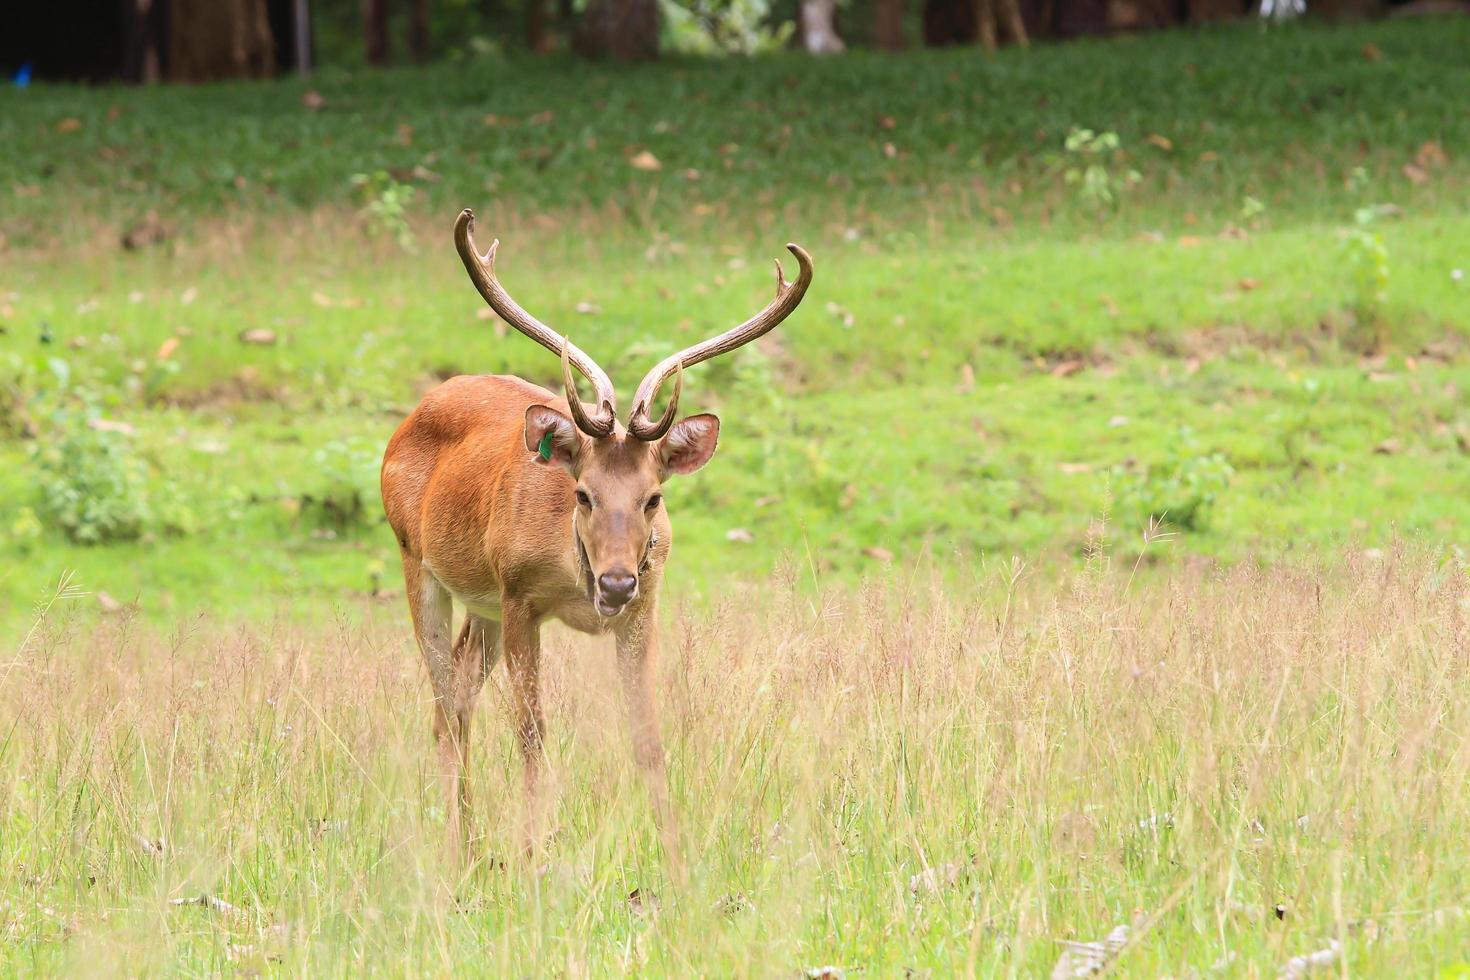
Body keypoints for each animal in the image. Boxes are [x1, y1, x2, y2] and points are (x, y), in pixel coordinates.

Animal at [379, 211, 817, 869]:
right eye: (582, 493)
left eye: (653, 498)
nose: (614, 581)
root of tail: (411, 416)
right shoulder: (518, 596)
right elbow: (533, 734)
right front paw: (532, 852)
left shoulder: (645, 608)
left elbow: (648, 738)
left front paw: (677, 858)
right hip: (418, 561)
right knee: (443, 706)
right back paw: (460, 846)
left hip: (481, 607)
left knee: (458, 692)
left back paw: (474, 844)